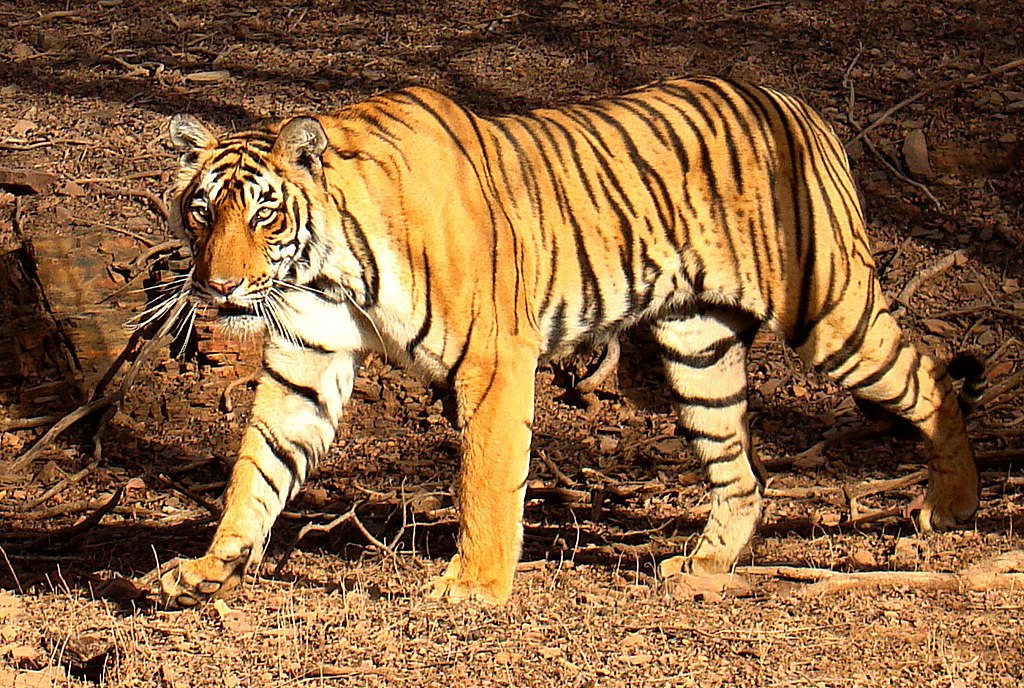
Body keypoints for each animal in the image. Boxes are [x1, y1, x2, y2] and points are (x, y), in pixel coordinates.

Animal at [153, 76, 983, 606]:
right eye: (202, 210)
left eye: (263, 213)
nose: (219, 287)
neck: (327, 270)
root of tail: (798, 105)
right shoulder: (308, 359)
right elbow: (257, 470)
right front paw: (208, 569)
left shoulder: (493, 358)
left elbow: (486, 478)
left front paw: (475, 588)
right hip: (699, 348)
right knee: (742, 475)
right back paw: (704, 565)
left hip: (829, 310)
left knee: (929, 379)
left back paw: (954, 506)